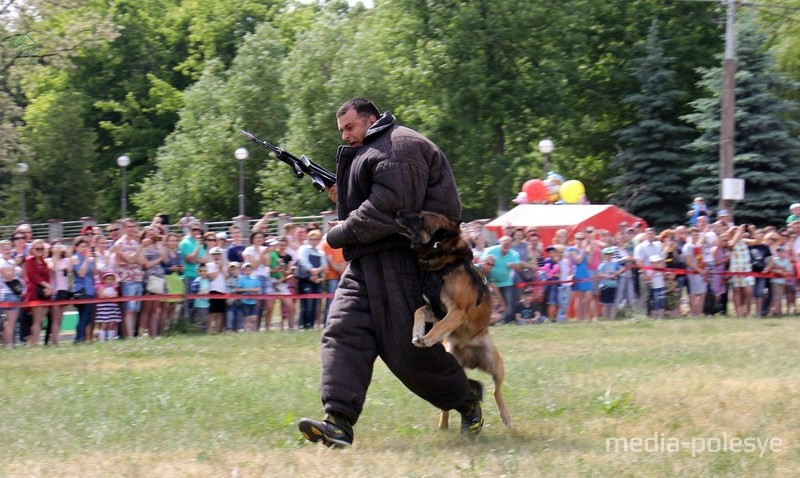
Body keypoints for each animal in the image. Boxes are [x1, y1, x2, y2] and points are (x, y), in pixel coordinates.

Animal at [394, 210, 512, 430]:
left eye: (421, 218)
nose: (397, 212)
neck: (444, 261)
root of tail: (471, 358)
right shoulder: (436, 309)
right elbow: (418, 312)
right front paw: (417, 333)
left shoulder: (456, 311)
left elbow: (440, 326)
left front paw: (427, 338)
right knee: (449, 403)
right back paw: (443, 425)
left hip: (496, 364)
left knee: (497, 391)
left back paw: (506, 417)